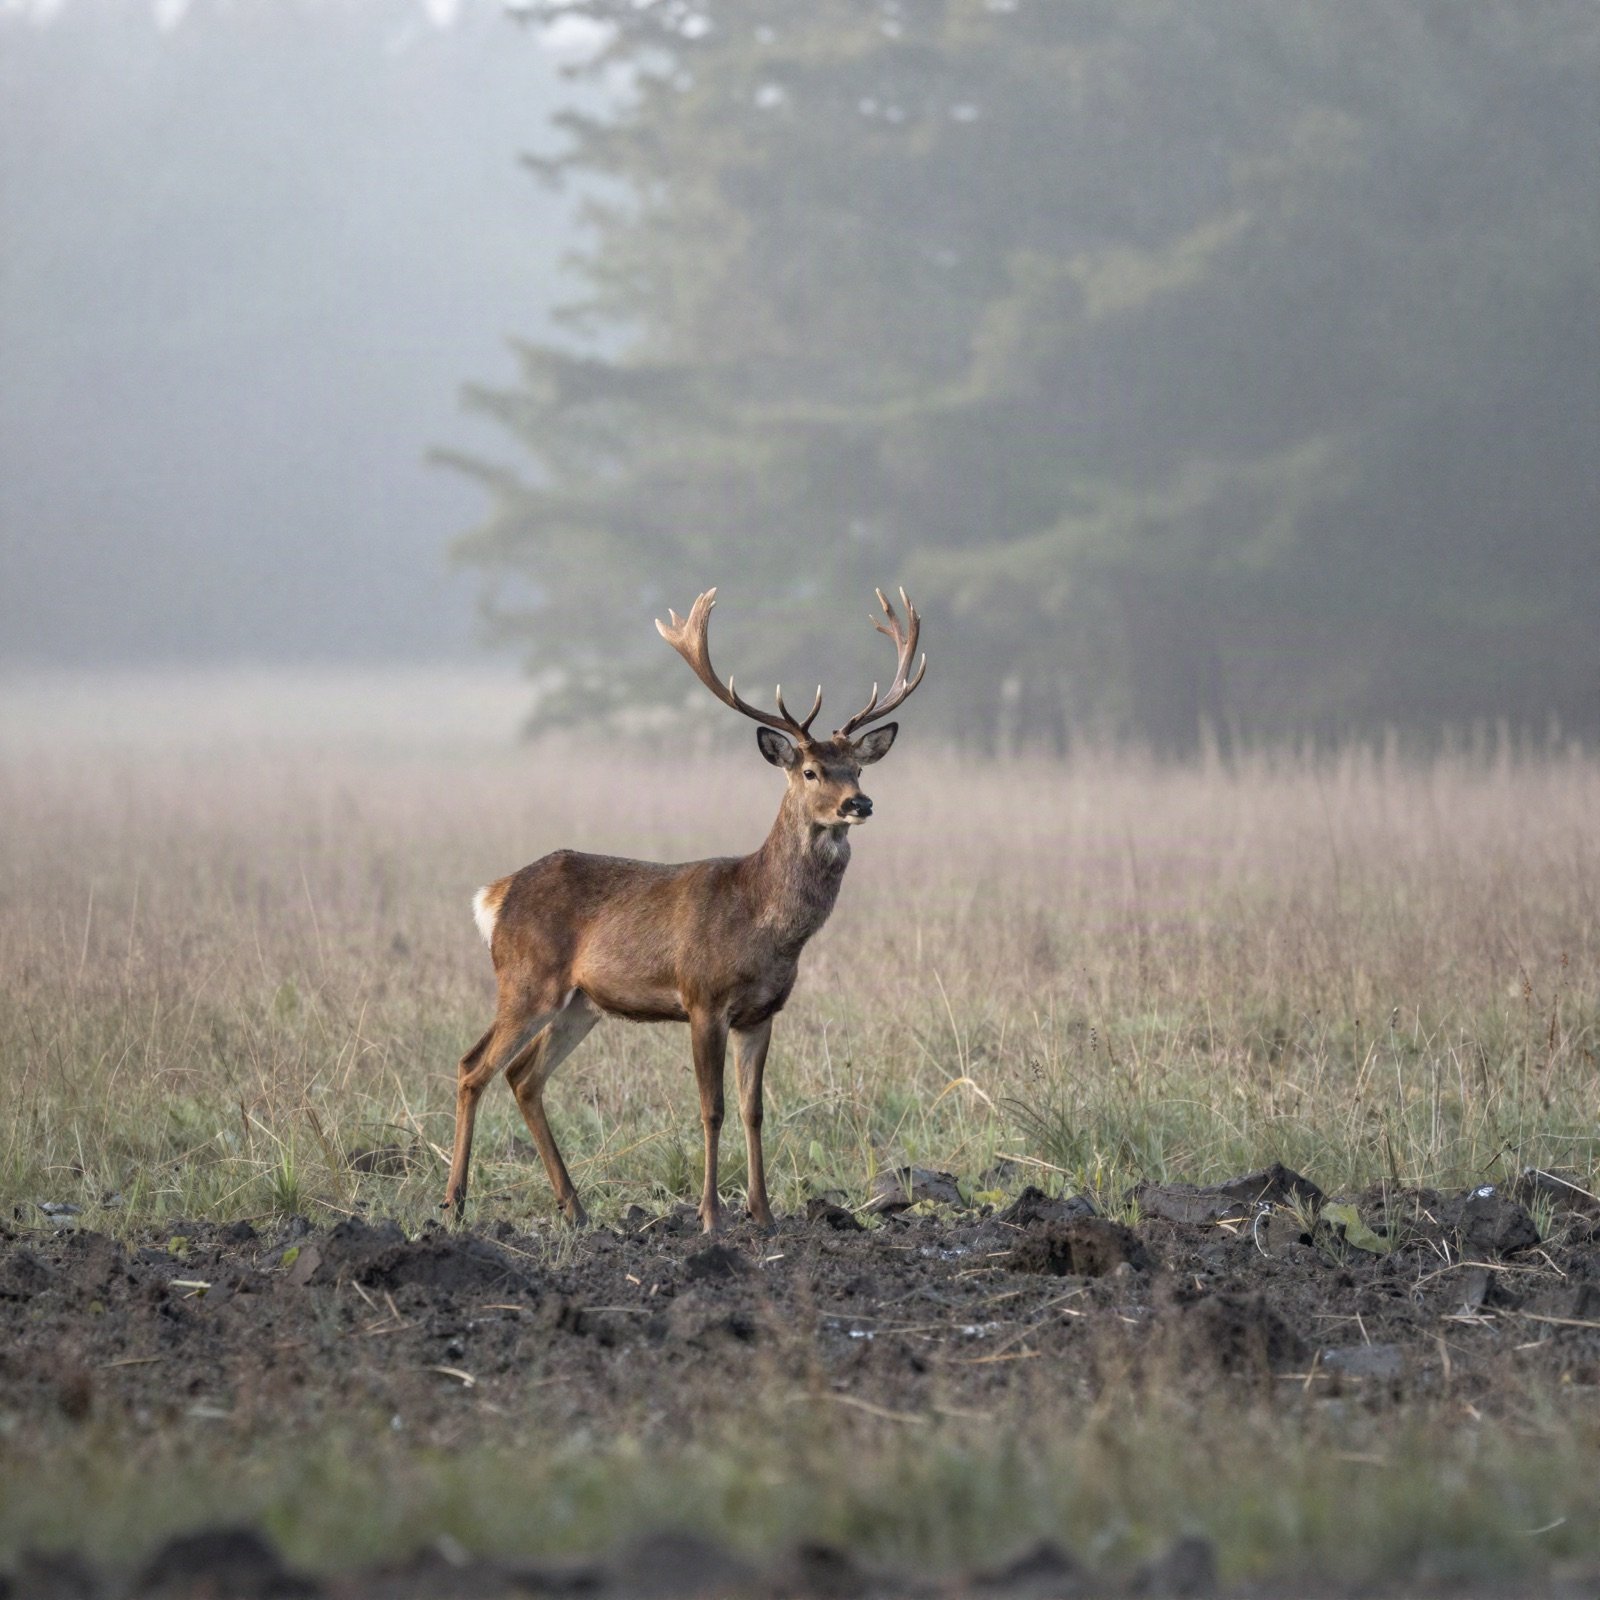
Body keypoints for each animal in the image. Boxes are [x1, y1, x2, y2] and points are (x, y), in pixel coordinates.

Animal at [442, 586, 926, 1233]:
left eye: (859, 767)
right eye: (810, 770)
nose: (859, 803)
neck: (763, 923)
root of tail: (494, 895)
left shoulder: (762, 1012)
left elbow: (753, 1110)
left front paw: (764, 1214)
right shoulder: (702, 998)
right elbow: (711, 1109)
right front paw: (710, 1215)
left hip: (581, 1003)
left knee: (523, 1078)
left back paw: (575, 1207)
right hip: (526, 979)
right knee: (474, 1067)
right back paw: (455, 1201)